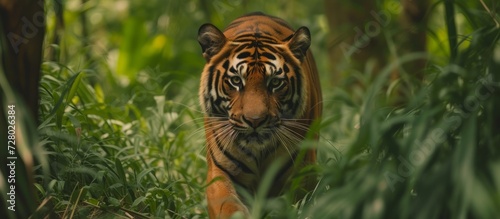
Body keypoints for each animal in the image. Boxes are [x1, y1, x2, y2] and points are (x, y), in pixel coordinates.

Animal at [197, 12, 322, 219]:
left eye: (276, 83)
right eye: (236, 80)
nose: (255, 121)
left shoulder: (302, 172)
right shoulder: (220, 171)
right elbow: (229, 207)